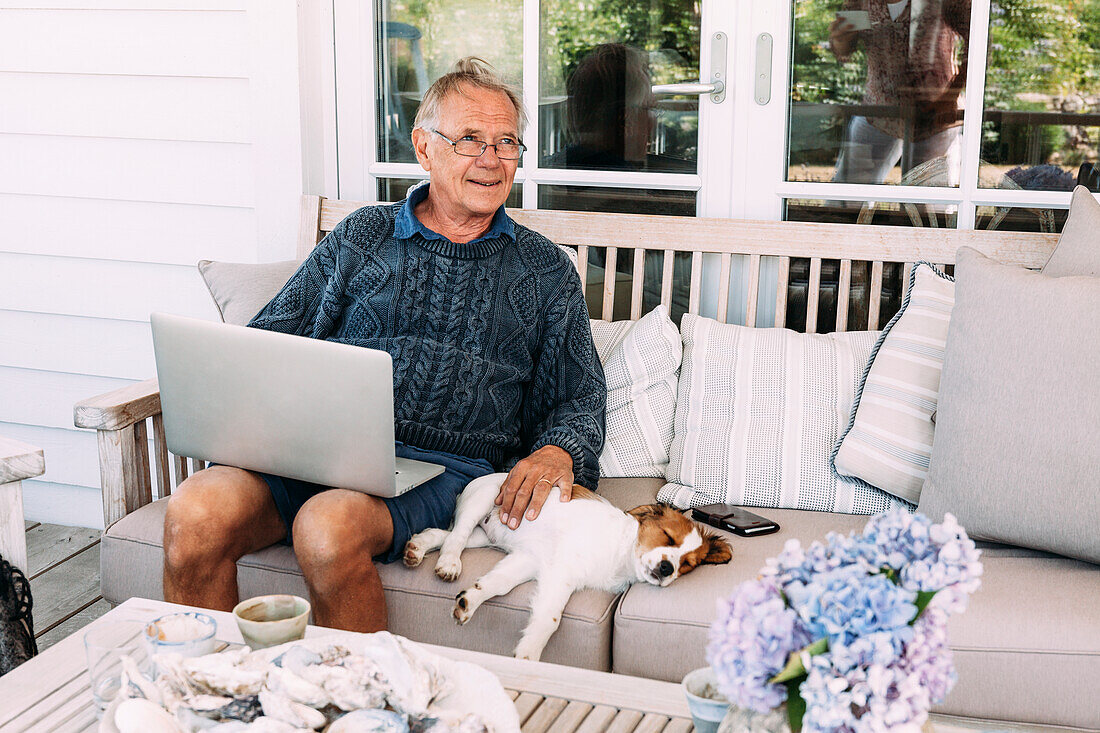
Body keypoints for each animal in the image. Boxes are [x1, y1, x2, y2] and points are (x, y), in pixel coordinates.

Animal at [404, 471, 730, 660]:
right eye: (668, 537)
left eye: (687, 565)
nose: (667, 570)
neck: (618, 553)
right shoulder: (559, 572)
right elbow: (550, 618)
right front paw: (529, 657)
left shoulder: (530, 560)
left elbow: (498, 583)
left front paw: (469, 601)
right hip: (482, 500)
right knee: (456, 536)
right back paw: (449, 563)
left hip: (484, 537)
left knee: (445, 535)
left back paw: (418, 547)